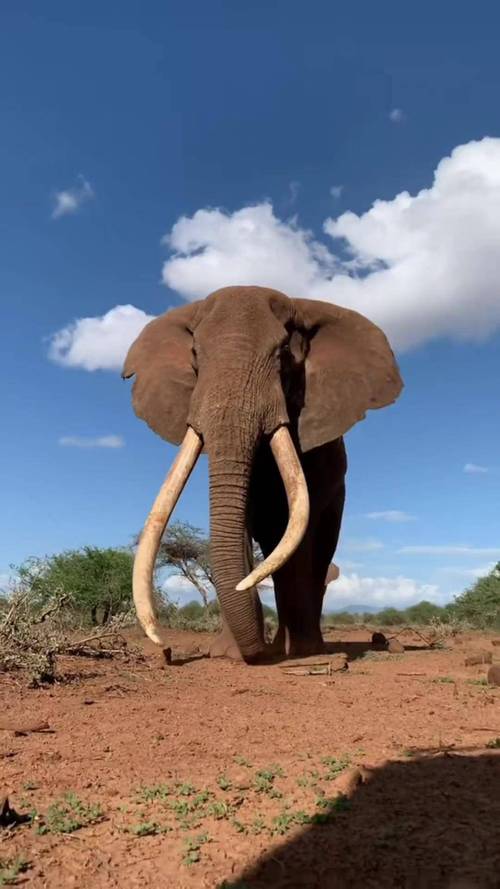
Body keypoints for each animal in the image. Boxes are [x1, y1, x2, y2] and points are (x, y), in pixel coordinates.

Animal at [123, 286, 403, 663]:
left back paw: (306, 646)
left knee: (319, 550)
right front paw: (228, 653)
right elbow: (238, 524)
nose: (165, 648)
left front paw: (299, 652)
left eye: (284, 353)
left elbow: (294, 526)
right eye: (195, 354)